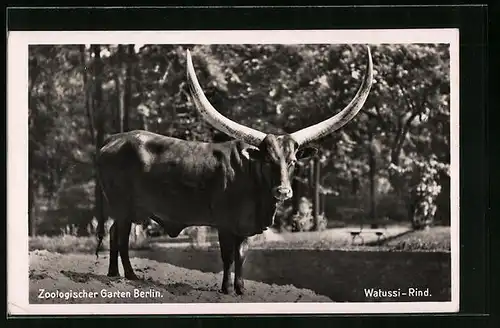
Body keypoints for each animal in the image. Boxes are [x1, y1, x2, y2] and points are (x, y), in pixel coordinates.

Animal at [95, 45, 374, 294]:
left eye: (293, 161)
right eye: (268, 160)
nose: (283, 191)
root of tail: (113, 140)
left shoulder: (245, 228)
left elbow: (241, 256)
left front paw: (240, 288)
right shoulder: (225, 225)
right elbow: (228, 256)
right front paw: (226, 288)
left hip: (127, 208)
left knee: (114, 233)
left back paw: (115, 273)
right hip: (122, 205)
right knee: (119, 236)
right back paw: (127, 275)